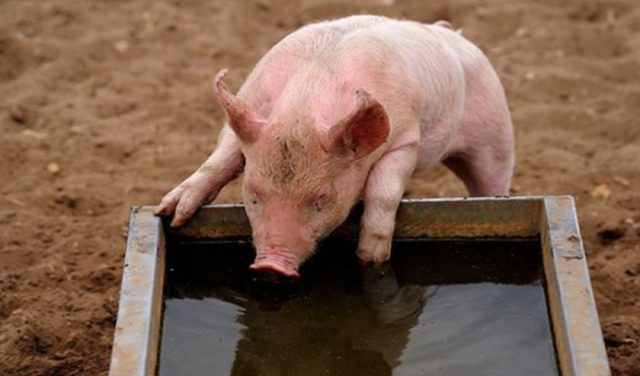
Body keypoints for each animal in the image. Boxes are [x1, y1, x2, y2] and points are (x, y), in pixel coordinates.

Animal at [156, 14, 516, 280]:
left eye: (321, 201)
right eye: (254, 196)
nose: (271, 266)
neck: (305, 105)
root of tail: (448, 30)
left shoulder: (405, 139)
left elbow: (383, 192)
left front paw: (370, 258)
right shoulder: (245, 119)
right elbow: (217, 162)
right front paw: (169, 214)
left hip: (496, 133)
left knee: (492, 178)